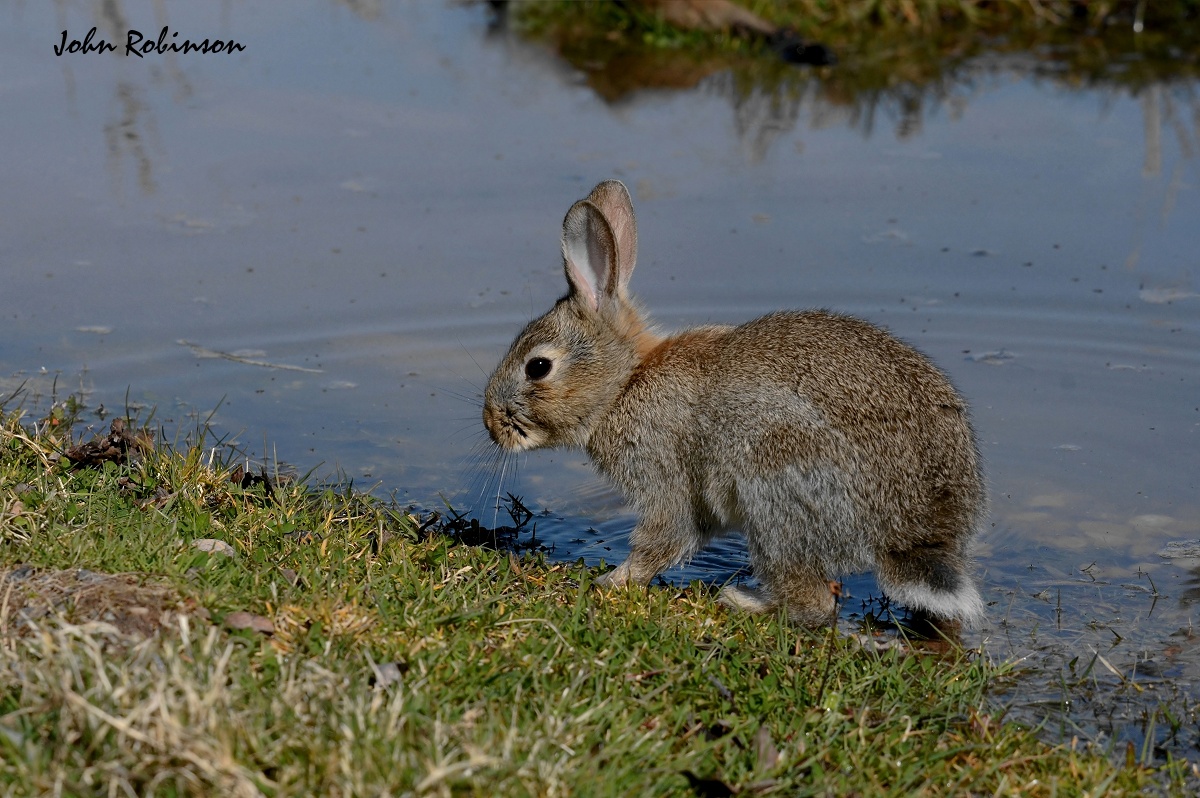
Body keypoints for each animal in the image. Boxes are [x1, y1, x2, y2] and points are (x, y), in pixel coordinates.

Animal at [483, 179, 986, 628]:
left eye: (537, 367)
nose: (491, 423)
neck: (624, 384)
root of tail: (913, 533)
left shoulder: (664, 477)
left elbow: (662, 539)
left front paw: (610, 583)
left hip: (774, 485)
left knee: (815, 603)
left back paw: (741, 601)